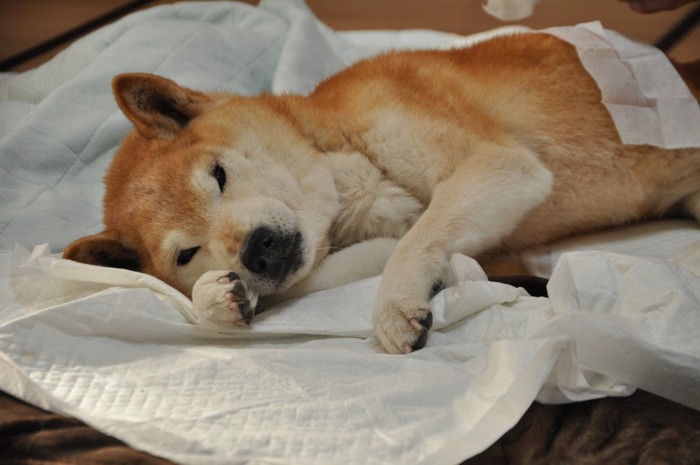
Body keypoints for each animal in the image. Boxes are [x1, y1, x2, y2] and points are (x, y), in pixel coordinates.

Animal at [63, 32, 696, 352]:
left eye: (217, 175)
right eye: (188, 253)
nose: (256, 250)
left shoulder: (501, 165)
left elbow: (417, 244)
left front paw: (393, 308)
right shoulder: (367, 238)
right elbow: (377, 255)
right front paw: (220, 299)